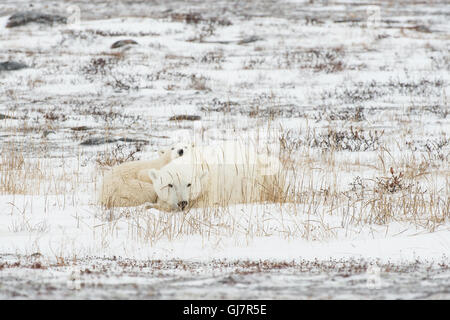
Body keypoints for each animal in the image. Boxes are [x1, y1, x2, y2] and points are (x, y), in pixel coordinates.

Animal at [146, 141, 284, 211]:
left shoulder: (213, 188)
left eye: (189, 184)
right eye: (170, 185)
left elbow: (203, 203)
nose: (182, 203)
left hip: (265, 173)